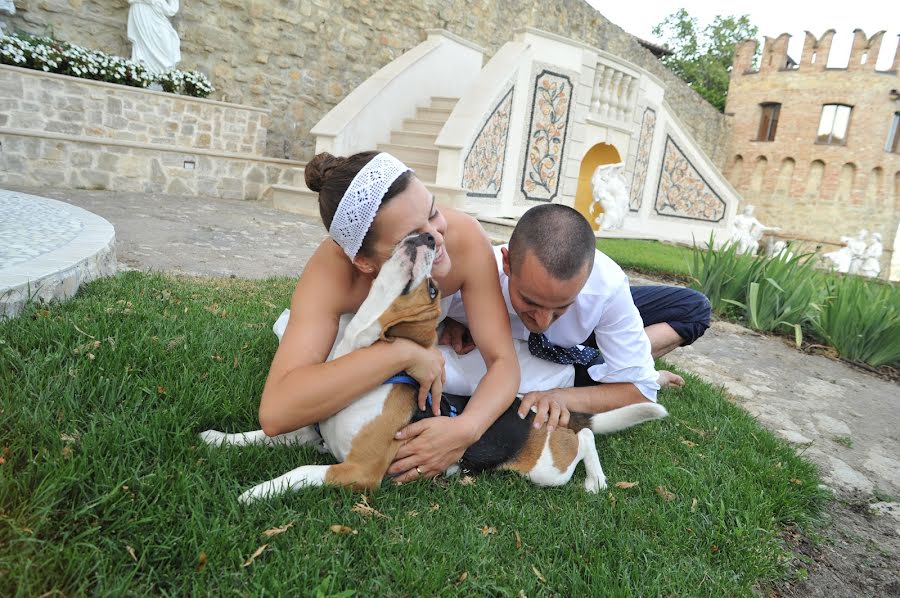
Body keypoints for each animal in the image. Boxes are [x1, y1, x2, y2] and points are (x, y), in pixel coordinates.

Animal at [204, 232, 668, 504]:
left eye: (431, 288)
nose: (426, 233)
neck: (361, 371)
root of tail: (538, 413)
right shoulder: (311, 437)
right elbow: (262, 434)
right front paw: (219, 438)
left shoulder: (359, 472)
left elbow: (299, 471)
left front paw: (256, 491)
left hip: (548, 469)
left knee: (585, 437)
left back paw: (595, 480)